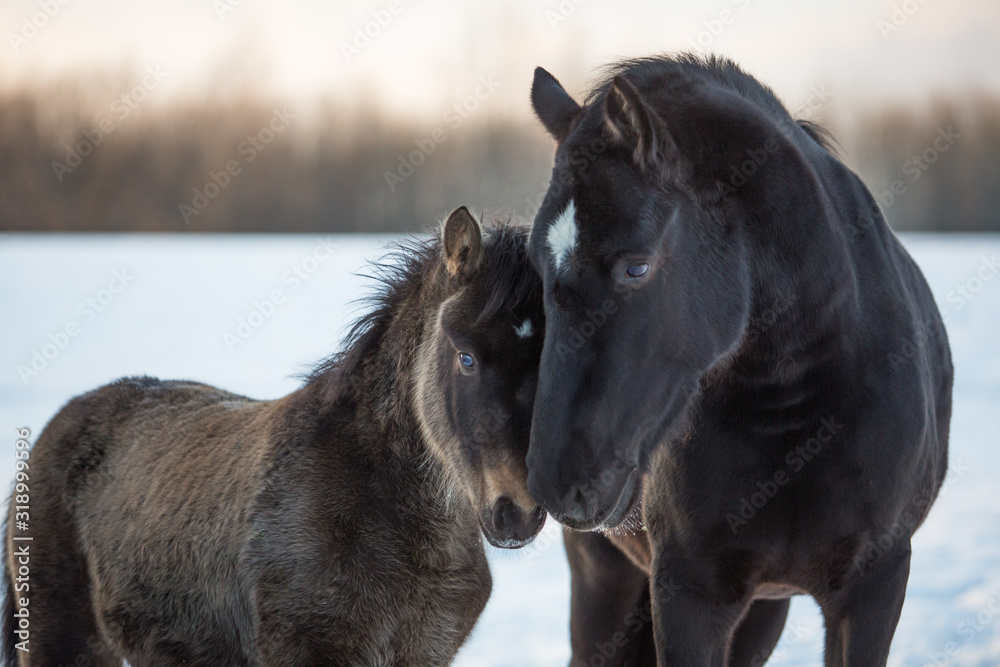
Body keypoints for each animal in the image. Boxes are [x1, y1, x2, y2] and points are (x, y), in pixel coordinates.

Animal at [524, 56, 952, 667]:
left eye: (636, 266)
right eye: (537, 263)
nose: (557, 479)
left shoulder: (874, 587)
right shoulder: (689, 592)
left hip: (763, 611)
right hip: (604, 585)